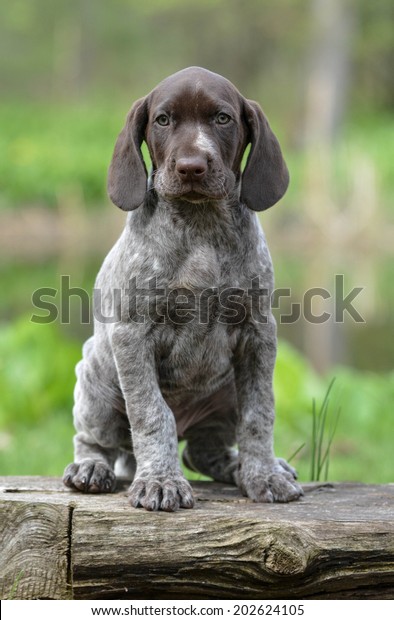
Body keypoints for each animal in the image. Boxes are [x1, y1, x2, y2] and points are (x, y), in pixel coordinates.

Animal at [63, 69, 304, 512]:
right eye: (163, 120)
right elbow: (152, 414)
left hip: (225, 392)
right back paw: (90, 468)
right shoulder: (132, 336)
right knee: (95, 439)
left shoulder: (259, 334)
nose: (192, 167)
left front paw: (263, 474)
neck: (201, 224)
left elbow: (259, 414)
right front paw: (160, 481)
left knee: (201, 451)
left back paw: (240, 466)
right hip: (96, 381)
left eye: (223, 119)